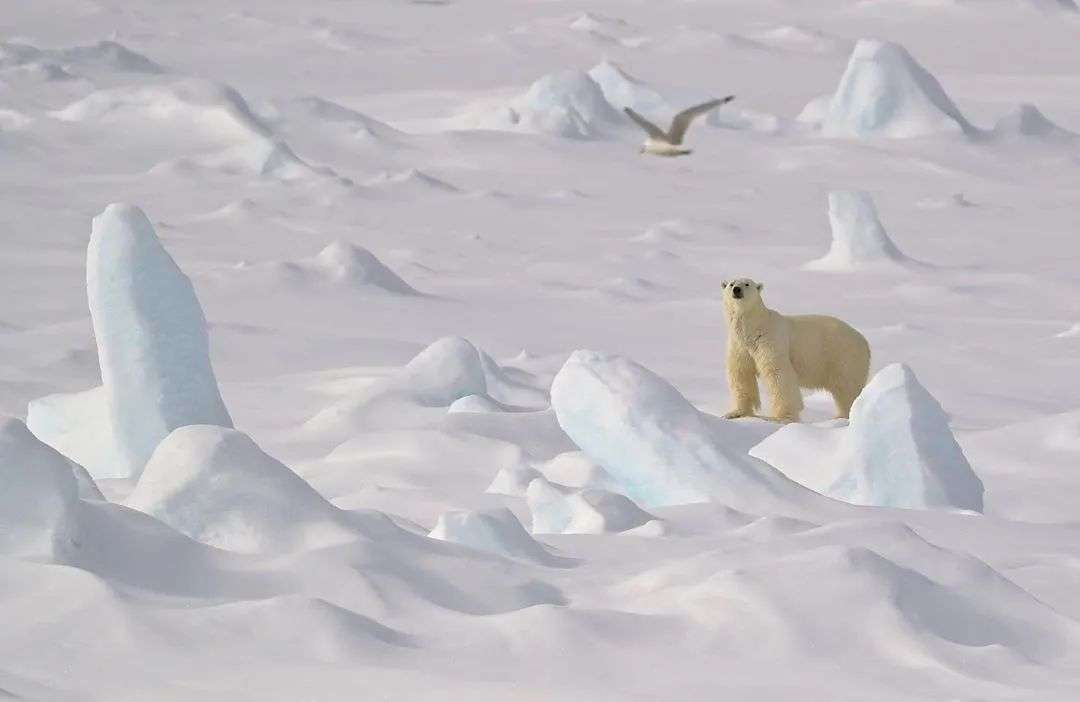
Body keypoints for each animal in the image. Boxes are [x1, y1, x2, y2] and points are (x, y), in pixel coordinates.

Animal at [721, 276, 872, 421]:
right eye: (731, 283)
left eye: (747, 284)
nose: (737, 289)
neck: (754, 327)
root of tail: (864, 342)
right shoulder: (739, 345)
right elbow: (741, 374)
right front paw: (736, 413)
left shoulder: (770, 340)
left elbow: (777, 373)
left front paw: (782, 417)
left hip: (844, 356)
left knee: (847, 387)